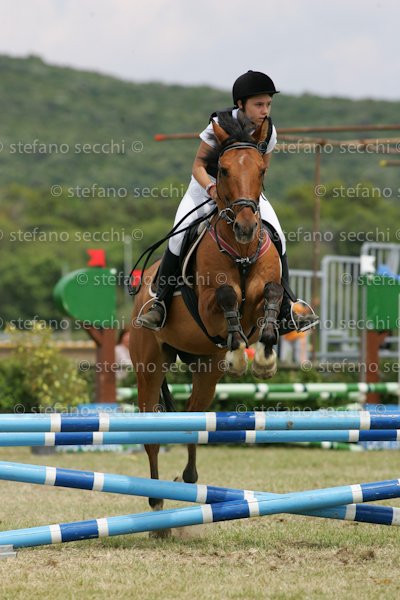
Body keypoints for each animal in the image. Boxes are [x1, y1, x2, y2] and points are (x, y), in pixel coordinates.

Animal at [130, 113, 283, 534]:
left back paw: (188, 484)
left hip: (206, 369)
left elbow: (272, 294)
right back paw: (157, 505)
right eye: (223, 170)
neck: (242, 251)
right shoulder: (210, 304)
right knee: (152, 434)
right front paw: (243, 352)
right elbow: (229, 297)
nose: (247, 226)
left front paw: (264, 353)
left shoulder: (263, 292)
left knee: (194, 422)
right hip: (149, 365)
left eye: (262, 170)